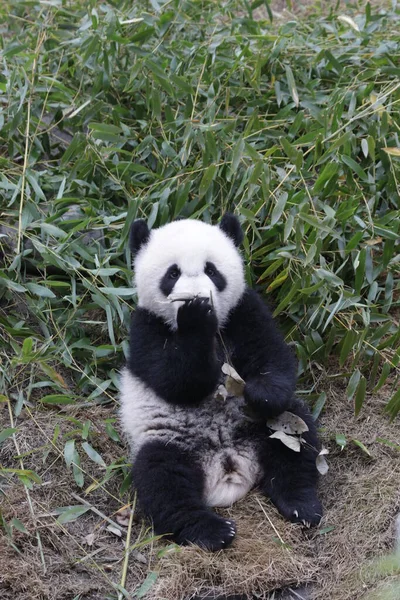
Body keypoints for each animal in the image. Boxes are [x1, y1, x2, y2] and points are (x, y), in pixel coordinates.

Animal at [119, 213, 322, 552]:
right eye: (172, 273)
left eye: (211, 270)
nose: (198, 296)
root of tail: (229, 466)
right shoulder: (146, 327)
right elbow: (173, 379)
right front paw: (195, 319)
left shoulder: (245, 310)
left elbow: (272, 355)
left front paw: (261, 393)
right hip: (169, 440)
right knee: (163, 481)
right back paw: (210, 530)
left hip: (269, 426)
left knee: (296, 447)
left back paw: (301, 504)